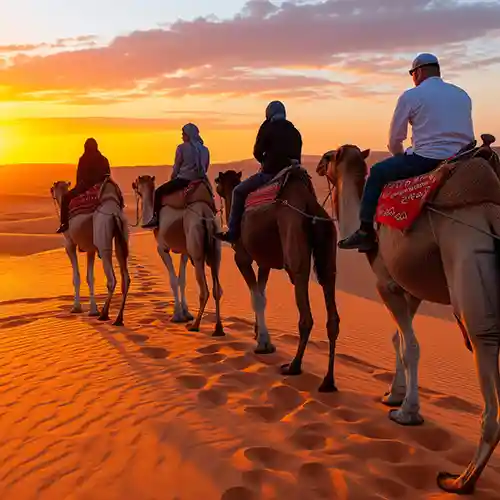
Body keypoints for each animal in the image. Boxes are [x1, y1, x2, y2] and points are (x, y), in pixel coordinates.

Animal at [50, 178, 131, 326]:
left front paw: (76, 308)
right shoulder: (91, 249)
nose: (51, 190)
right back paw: (118, 318)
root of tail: (114, 212)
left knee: (112, 279)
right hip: (122, 236)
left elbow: (77, 276)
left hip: (103, 238)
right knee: (126, 278)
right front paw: (93, 310)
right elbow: (90, 277)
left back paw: (105, 314)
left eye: (54, 187)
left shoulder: (69, 244)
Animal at [131, 176, 223, 336]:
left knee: (204, 290)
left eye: (138, 181)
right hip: (216, 247)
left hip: (196, 249)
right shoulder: (184, 252)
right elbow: (182, 280)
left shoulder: (162, 248)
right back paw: (218, 328)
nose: (133, 184)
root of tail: (205, 214)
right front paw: (186, 313)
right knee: (217, 288)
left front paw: (177, 315)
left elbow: (173, 280)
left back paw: (195, 326)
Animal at [215, 166, 340, 392]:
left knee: (306, 316)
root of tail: (310, 206)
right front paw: (259, 334)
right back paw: (328, 381)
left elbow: (257, 297)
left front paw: (264, 343)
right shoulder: (265, 262)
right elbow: (261, 295)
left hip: (295, 250)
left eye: (218, 182)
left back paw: (294, 366)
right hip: (328, 254)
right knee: (332, 311)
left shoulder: (242, 257)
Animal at [316, 135, 500, 494]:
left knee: (482, 336)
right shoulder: (409, 290)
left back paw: (462, 479)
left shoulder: (386, 283)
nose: (317, 163)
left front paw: (407, 412)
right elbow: (398, 340)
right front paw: (393, 394)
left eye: (330, 157)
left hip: (467, 251)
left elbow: (411, 346)